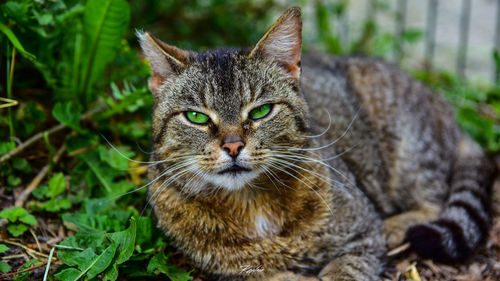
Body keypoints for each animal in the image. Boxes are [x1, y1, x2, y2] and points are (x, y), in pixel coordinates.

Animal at [137, 6, 496, 280]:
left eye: (261, 110)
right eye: (196, 117)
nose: (234, 146)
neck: (251, 204)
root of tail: (448, 113)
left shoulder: (362, 237)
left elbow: (346, 270)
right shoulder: (235, 272)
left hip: (409, 146)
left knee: (433, 198)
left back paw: (396, 226)